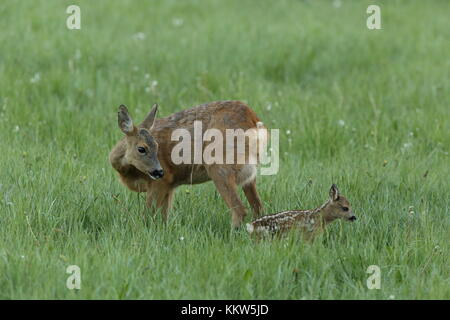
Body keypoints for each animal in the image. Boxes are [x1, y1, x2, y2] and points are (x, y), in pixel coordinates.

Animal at [110, 100, 268, 228]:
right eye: (141, 149)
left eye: (156, 146)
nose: (159, 171)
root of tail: (254, 122)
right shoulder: (170, 185)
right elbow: (164, 216)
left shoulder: (162, 181)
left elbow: (148, 215)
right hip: (248, 175)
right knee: (258, 208)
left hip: (220, 166)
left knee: (240, 210)